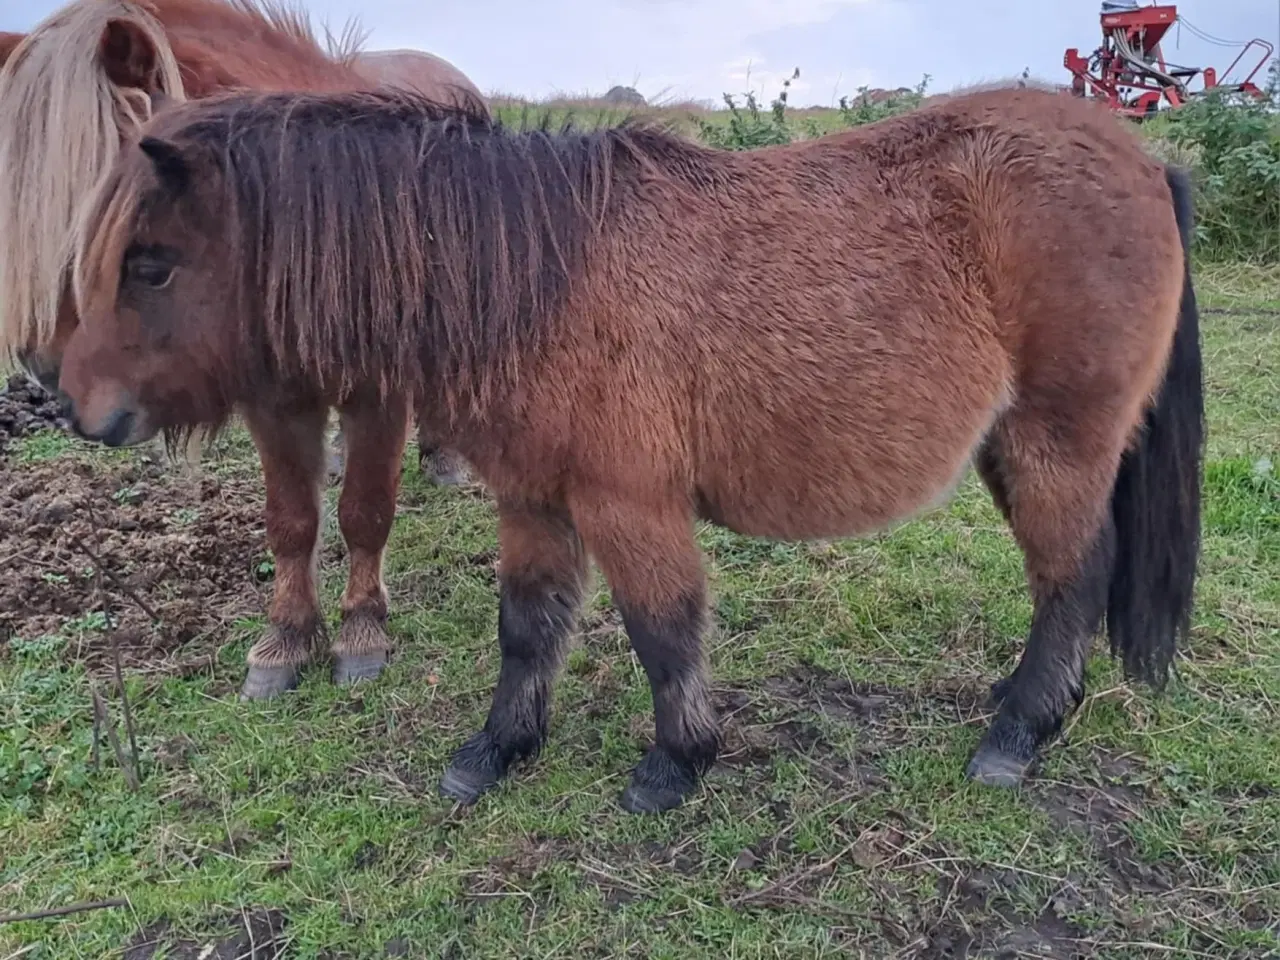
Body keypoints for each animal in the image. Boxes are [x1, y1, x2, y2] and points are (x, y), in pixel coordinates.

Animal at [57, 86, 1198, 814]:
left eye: (152, 265)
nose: (77, 407)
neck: (534, 279)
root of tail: (1145, 161)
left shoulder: (628, 503)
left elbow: (662, 632)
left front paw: (674, 765)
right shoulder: (531, 499)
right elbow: (526, 629)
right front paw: (493, 753)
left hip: (1058, 443)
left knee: (1072, 578)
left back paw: (1014, 738)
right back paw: (1024, 708)